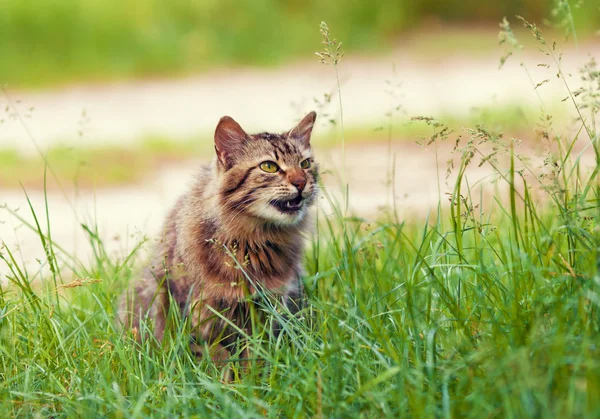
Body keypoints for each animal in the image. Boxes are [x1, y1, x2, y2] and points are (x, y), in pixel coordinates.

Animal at [117, 111, 318, 368]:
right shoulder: (200, 313)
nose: (301, 182)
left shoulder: (267, 307)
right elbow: (218, 359)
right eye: (269, 167)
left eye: (305, 164)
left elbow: (253, 356)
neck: (253, 242)